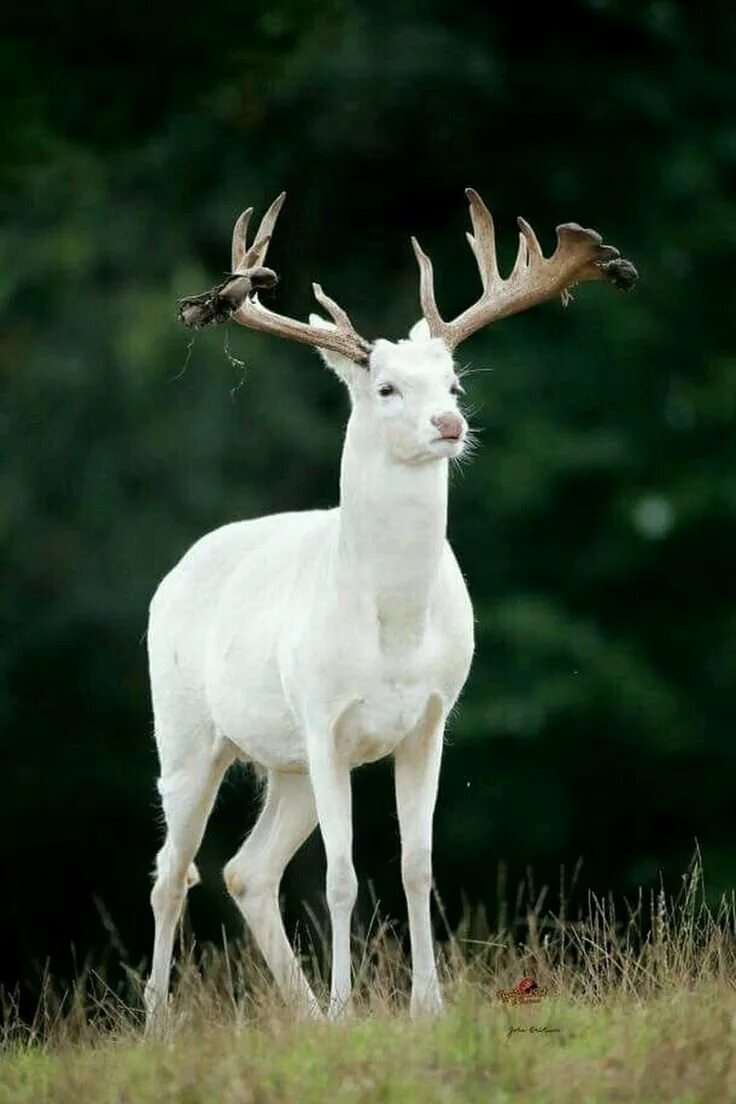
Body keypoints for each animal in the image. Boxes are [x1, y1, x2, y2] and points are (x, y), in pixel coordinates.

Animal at [145, 185, 640, 1028]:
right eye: (385, 388)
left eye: (455, 386)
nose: (449, 426)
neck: (395, 630)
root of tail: (174, 572)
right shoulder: (323, 718)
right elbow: (342, 875)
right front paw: (351, 1010)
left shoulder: (430, 718)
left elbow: (416, 864)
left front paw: (426, 1007)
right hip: (187, 733)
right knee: (171, 873)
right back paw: (159, 1026)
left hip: (287, 764)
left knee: (246, 871)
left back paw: (304, 1015)